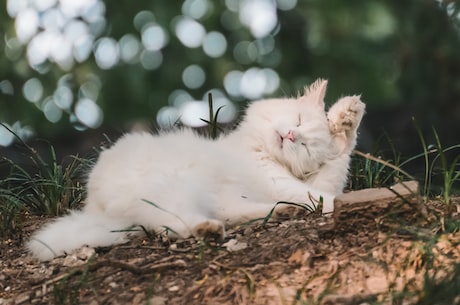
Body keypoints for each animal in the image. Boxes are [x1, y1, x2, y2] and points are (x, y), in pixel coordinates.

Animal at [27, 79, 366, 260]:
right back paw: (209, 229)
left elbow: (333, 173)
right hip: (174, 187)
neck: (257, 149)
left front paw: (347, 117)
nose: (291, 136)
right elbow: (324, 189)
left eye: (306, 145)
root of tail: (95, 208)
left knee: (220, 216)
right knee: (176, 224)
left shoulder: (301, 182)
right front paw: (348, 113)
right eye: (297, 119)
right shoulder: (280, 181)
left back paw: (279, 213)